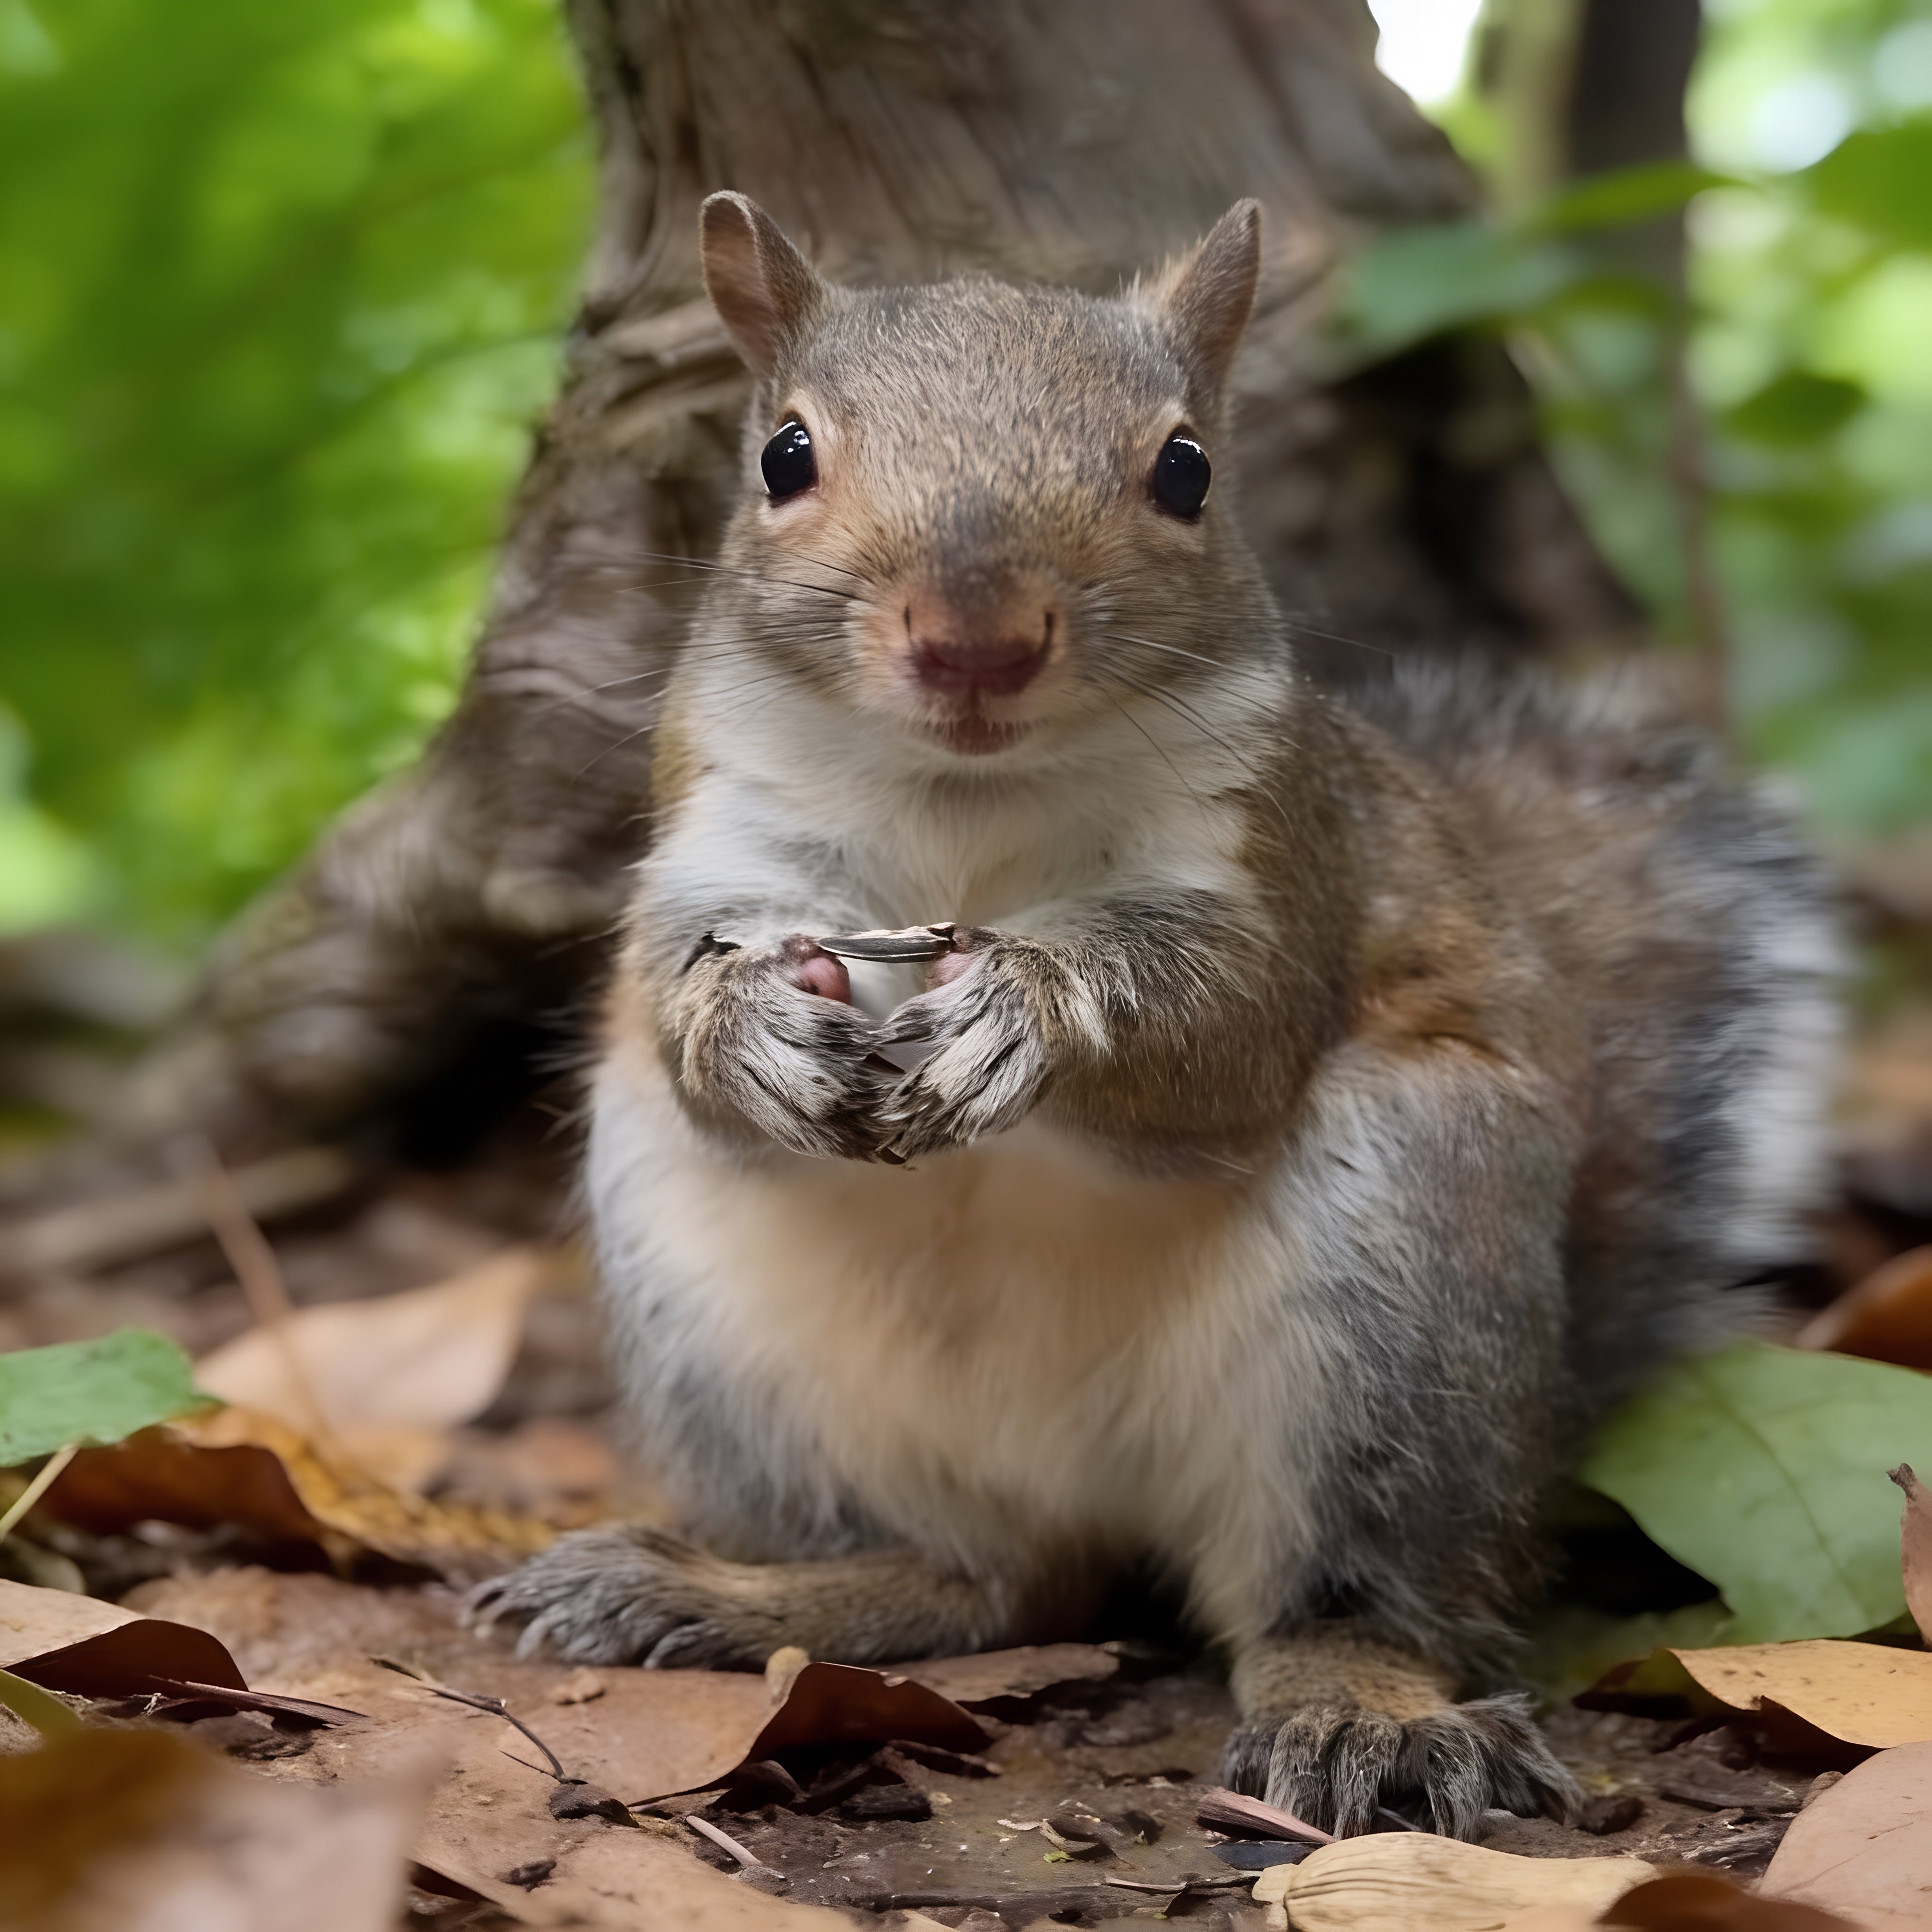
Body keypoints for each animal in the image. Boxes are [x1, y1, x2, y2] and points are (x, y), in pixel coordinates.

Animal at [471, 193, 1842, 1836]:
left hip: (1391, 1305)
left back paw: (1363, 1716)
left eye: (1185, 468)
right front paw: (750, 1025)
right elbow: (670, 990)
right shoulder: (720, 835)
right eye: (783, 454)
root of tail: (1091, 1495)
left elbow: (1229, 1029)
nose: (974, 639)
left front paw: (1030, 1005)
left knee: (1350, 1594)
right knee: (982, 1579)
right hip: (726, 1338)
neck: (964, 800)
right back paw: (724, 1592)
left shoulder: (1280, 859)